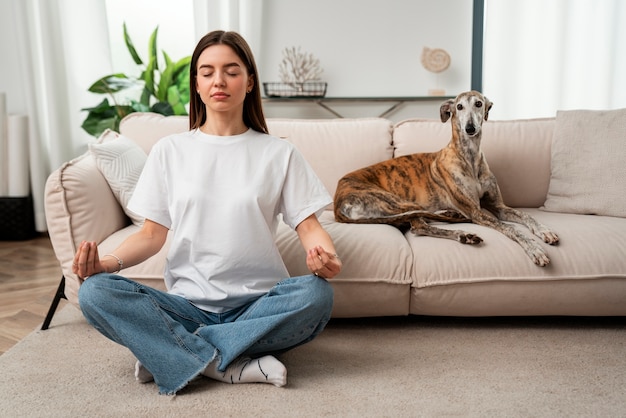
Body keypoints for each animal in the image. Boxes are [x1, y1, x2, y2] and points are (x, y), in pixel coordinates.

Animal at [334, 90, 560, 266]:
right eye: (459, 107)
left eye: (479, 103)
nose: (470, 128)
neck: (469, 157)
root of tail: (338, 204)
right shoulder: (476, 212)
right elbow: (511, 228)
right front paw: (535, 249)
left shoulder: (498, 206)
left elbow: (526, 216)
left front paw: (545, 231)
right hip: (397, 202)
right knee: (419, 225)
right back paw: (464, 233)